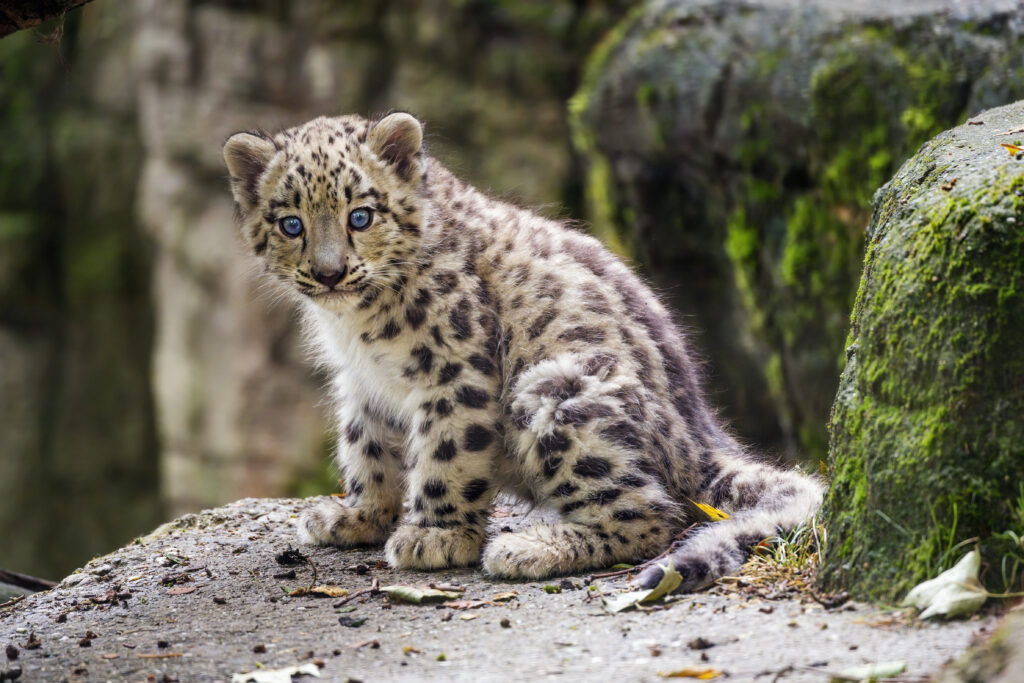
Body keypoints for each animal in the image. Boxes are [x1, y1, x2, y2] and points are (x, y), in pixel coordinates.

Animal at [221, 111, 822, 591]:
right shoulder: (363, 383)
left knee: (651, 515)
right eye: (291, 223)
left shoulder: (455, 369)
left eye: (360, 215)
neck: (354, 326)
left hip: (556, 391)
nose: (329, 273)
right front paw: (359, 516)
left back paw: (528, 548)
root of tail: (700, 434)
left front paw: (436, 536)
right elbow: (365, 447)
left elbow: (446, 453)